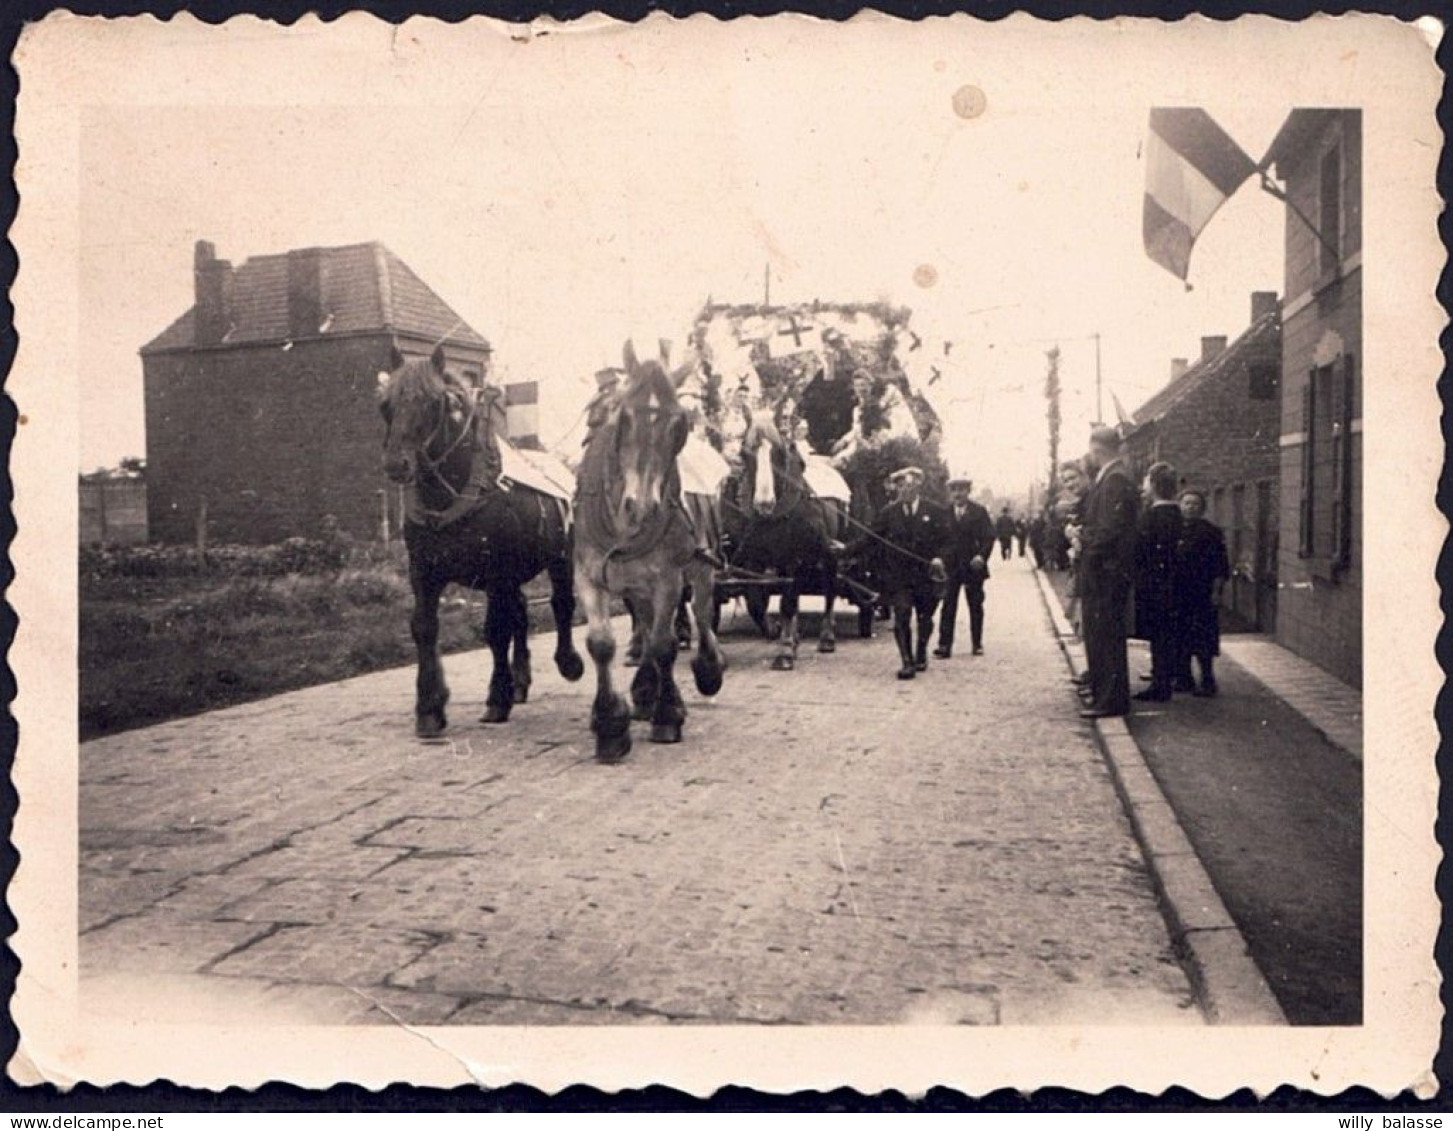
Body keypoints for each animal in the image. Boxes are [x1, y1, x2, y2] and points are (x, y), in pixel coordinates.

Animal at [377, 343, 581, 735]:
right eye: (385, 403)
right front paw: (430, 707)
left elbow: (496, 630)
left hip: (560, 557)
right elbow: (424, 628)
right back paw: (521, 681)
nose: (397, 465)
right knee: (520, 612)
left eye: (433, 402)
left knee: (561, 604)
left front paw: (496, 699)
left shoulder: (497, 572)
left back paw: (567, 662)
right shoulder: (423, 572)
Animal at [569, 337, 723, 755]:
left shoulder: (668, 578)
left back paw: (707, 668)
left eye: (679, 424)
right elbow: (602, 643)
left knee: (701, 611)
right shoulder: (588, 573)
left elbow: (663, 644)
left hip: (700, 562)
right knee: (644, 619)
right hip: (632, 579)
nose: (640, 505)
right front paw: (609, 724)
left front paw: (668, 714)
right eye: (622, 417)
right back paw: (643, 691)